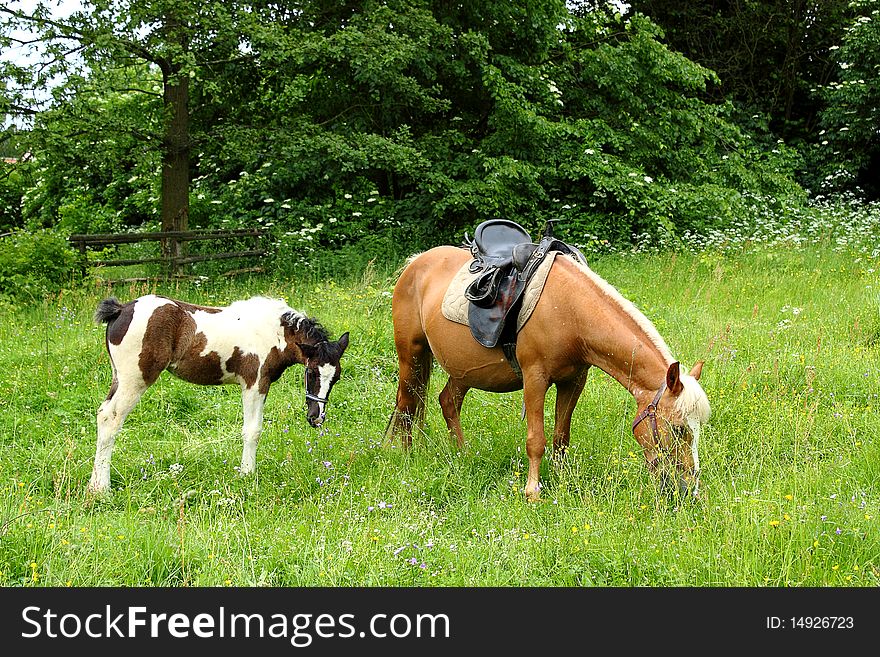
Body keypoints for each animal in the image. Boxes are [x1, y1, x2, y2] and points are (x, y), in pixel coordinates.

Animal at [89, 294, 348, 492]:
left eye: (336, 377)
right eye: (312, 372)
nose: (316, 418)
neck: (273, 332)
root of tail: (121, 310)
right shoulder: (255, 384)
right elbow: (252, 431)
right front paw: (247, 474)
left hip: (119, 378)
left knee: (102, 414)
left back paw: (94, 484)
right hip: (134, 380)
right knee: (110, 419)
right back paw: (102, 489)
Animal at [384, 245, 708, 498]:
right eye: (678, 429)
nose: (689, 489)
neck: (570, 311)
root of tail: (416, 262)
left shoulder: (573, 381)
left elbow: (560, 437)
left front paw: (562, 482)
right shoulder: (535, 380)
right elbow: (536, 440)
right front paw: (533, 492)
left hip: (463, 370)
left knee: (448, 402)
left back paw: (462, 455)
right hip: (411, 357)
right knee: (407, 407)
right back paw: (408, 457)